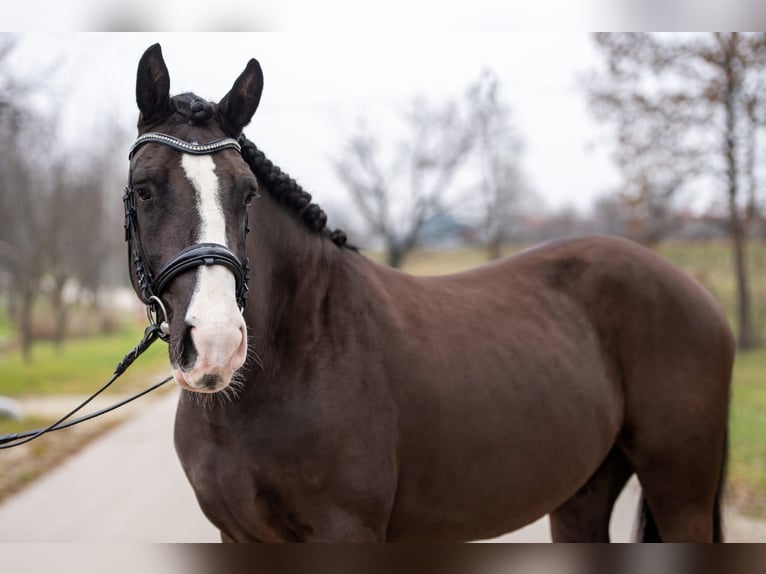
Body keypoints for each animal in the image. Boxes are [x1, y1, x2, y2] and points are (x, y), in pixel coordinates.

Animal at [124, 45, 732, 544]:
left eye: (247, 193)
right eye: (143, 189)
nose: (216, 344)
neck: (299, 351)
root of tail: (697, 294)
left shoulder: (345, 532)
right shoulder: (239, 537)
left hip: (680, 492)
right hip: (583, 494)